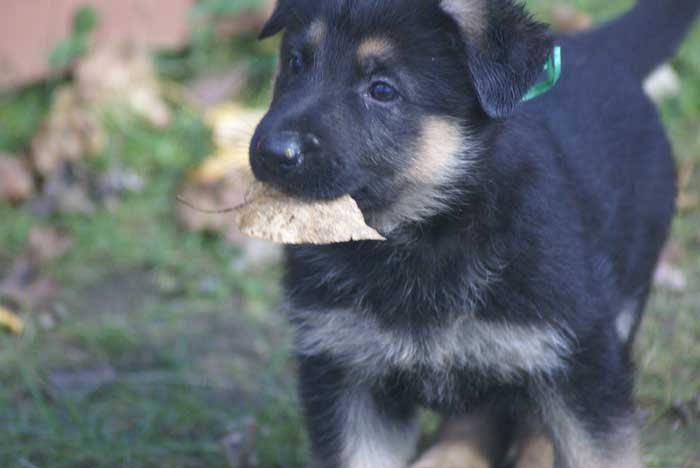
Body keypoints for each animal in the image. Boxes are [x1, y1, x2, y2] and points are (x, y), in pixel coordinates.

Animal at [249, 0, 696, 468]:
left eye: (382, 90)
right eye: (295, 63)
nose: (273, 153)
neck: (421, 233)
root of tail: (600, 48)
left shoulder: (579, 355)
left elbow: (595, 448)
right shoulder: (346, 370)